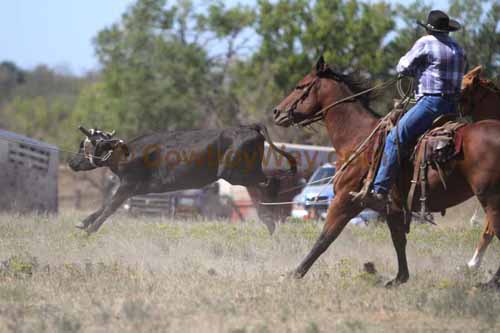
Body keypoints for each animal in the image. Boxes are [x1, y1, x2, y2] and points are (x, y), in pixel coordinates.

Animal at [274, 56, 500, 286]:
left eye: (300, 86)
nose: (277, 111)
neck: (357, 139)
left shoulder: (345, 201)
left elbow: (325, 238)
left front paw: (293, 274)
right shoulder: (392, 208)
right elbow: (398, 240)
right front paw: (399, 278)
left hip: (491, 200)